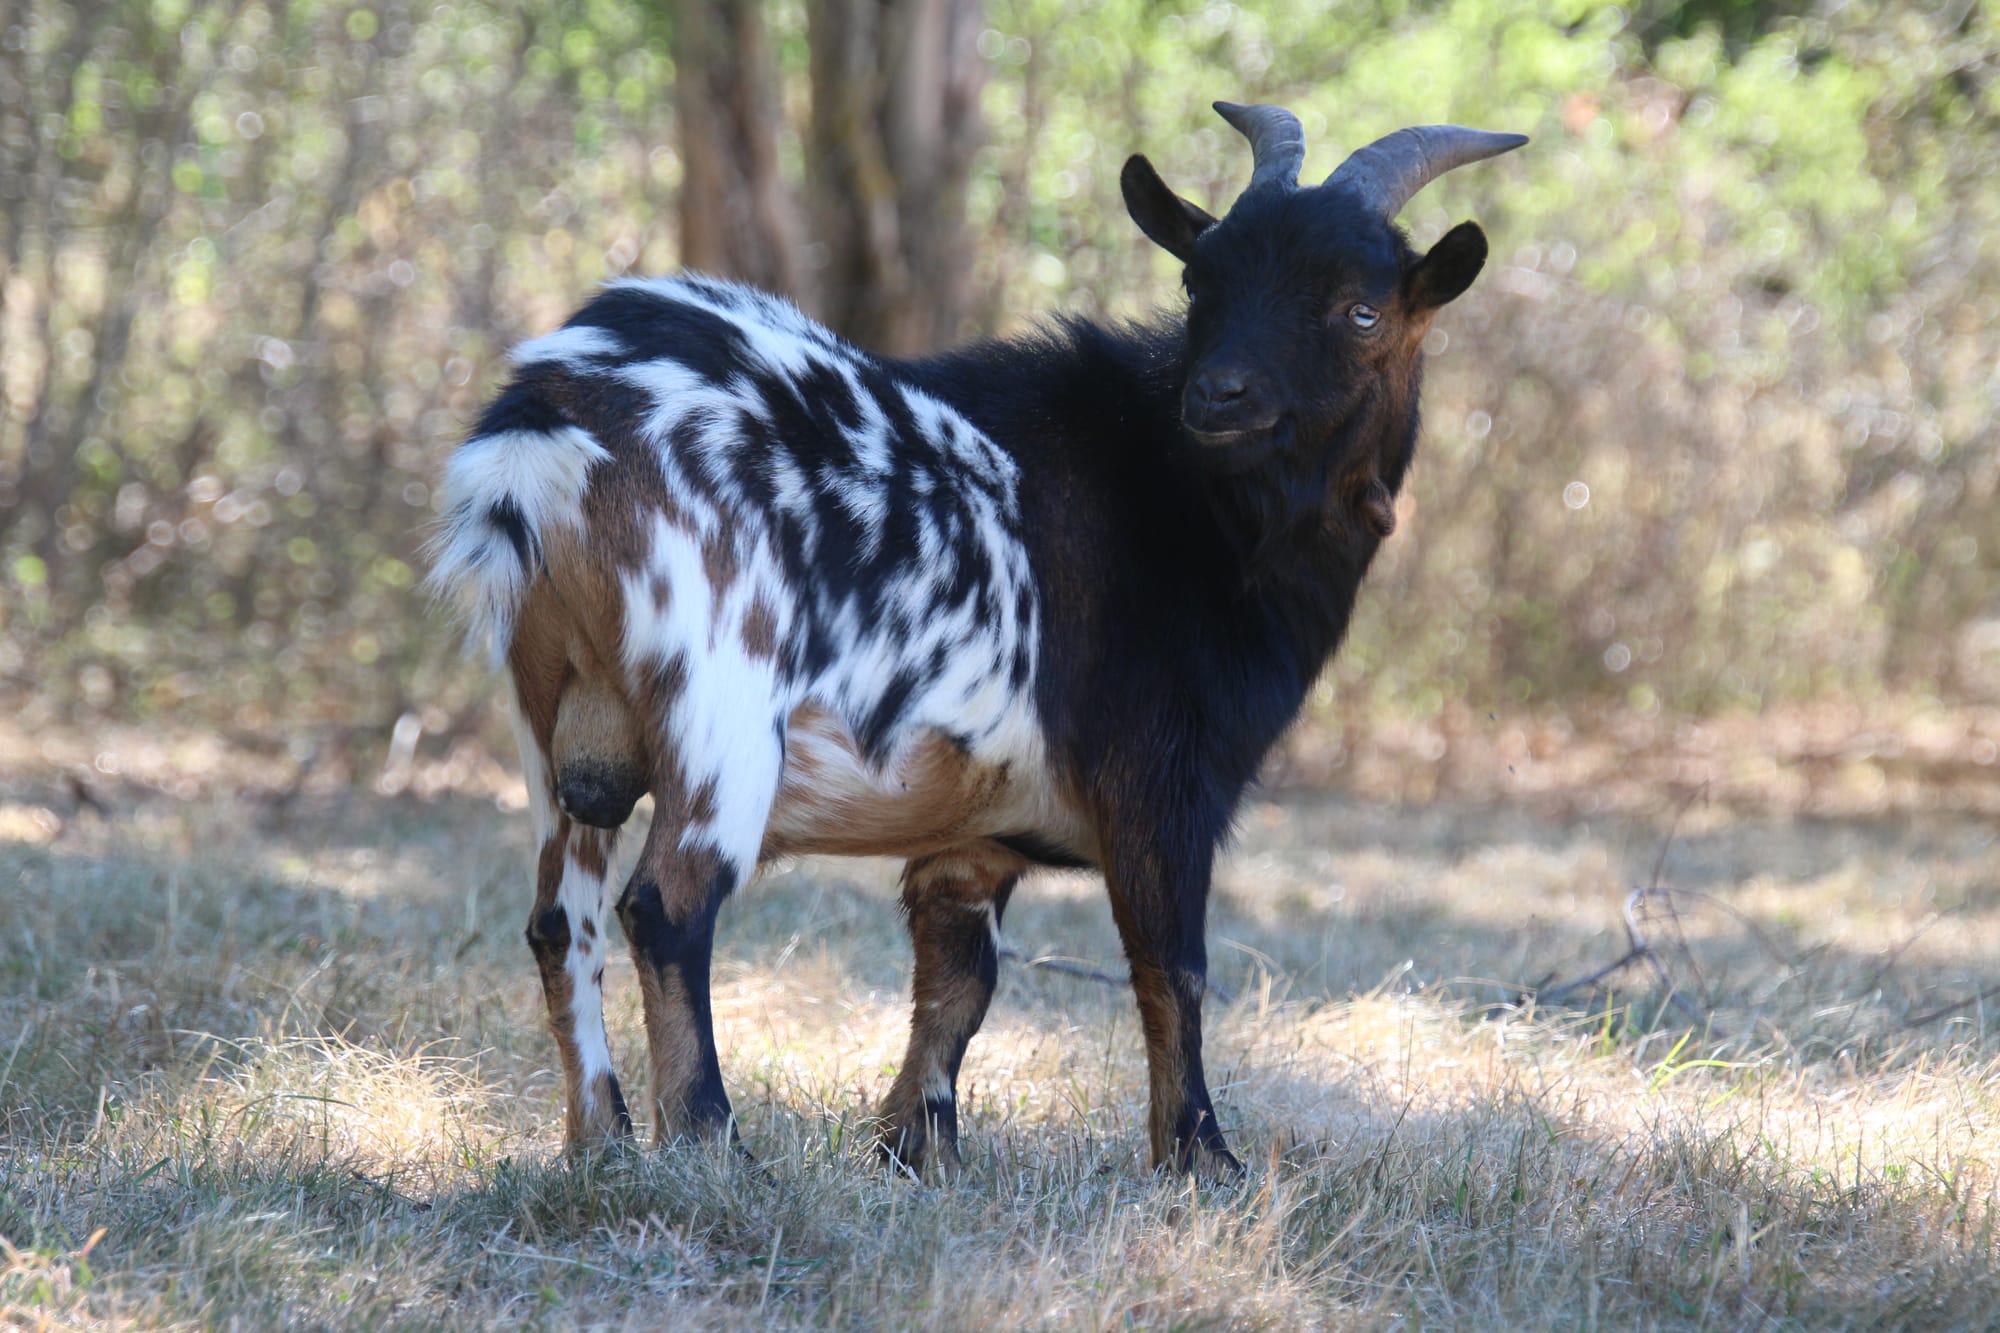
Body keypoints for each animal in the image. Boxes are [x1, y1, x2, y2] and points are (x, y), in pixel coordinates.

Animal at [434, 101, 1528, 1176]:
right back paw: (709, 1143)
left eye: (1361, 310)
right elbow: (1171, 964)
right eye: (1197, 280)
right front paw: (1200, 1157)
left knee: (560, 920)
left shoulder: (975, 830)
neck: (1192, 506)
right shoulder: (1161, 784)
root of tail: (548, 421)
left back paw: (602, 1142)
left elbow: (958, 978)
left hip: (555, 721)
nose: (1218, 395)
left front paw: (918, 1148)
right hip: (718, 708)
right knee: (667, 905)